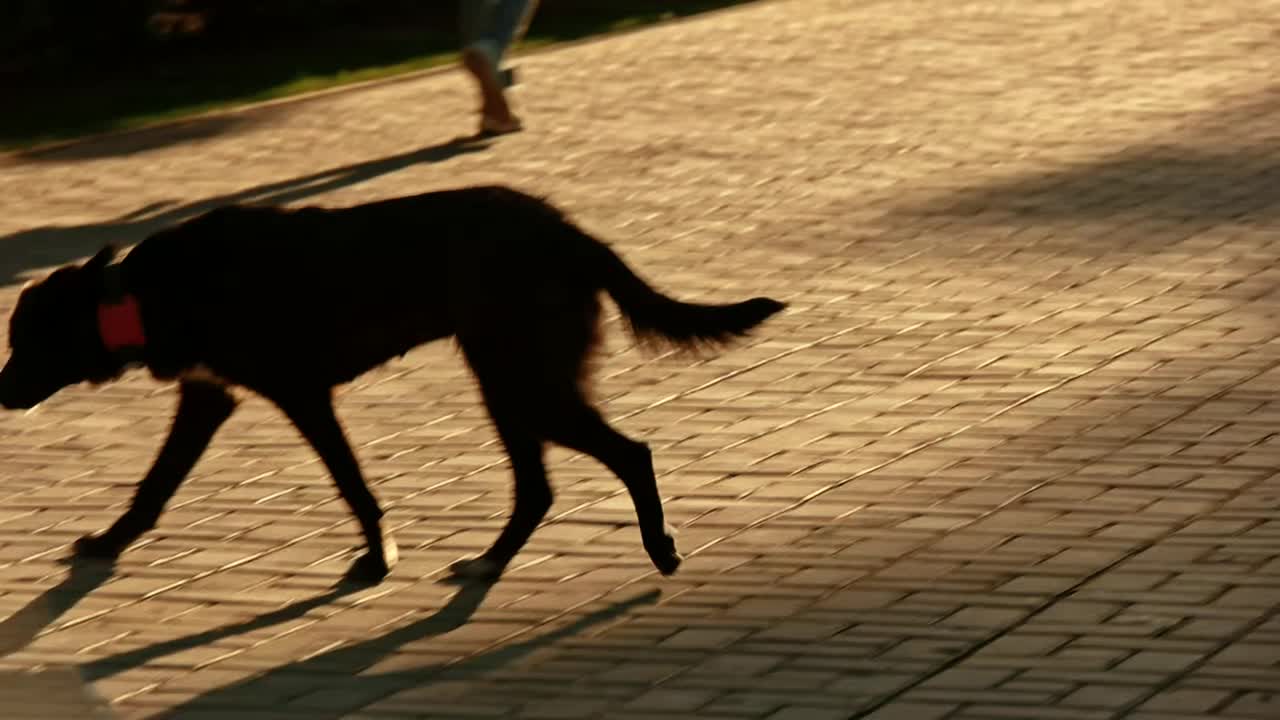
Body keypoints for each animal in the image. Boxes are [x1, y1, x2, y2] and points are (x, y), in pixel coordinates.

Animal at [0, 185, 783, 584]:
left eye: (22, 340)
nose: (0, 393)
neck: (138, 294)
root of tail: (570, 232)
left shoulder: (301, 394)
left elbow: (352, 484)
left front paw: (377, 556)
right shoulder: (208, 396)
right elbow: (155, 484)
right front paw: (110, 541)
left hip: (519, 378)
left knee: (628, 453)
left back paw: (658, 547)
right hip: (506, 379)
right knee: (539, 487)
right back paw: (492, 560)